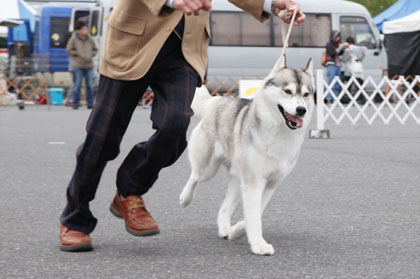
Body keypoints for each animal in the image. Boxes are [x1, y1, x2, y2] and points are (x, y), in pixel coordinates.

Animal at [179, 54, 314, 256]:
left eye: (306, 94)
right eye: (288, 91)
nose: (301, 110)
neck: (278, 134)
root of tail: (218, 101)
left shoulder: (270, 183)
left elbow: (255, 214)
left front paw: (237, 231)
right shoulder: (254, 182)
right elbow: (254, 217)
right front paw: (259, 245)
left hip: (238, 178)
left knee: (224, 207)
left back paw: (225, 229)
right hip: (208, 169)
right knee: (195, 176)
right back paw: (185, 198)